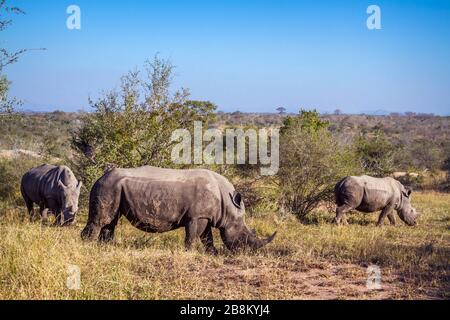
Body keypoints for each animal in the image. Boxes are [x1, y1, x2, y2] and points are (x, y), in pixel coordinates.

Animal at [81, 166, 278, 254]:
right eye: (244, 237)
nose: (248, 253)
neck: (228, 205)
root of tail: (101, 177)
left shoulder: (205, 216)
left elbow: (207, 237)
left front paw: (212, 253)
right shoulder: (196, 216)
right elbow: (193, 236)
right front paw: (189, 252)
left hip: (113, 187)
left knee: (110, 222)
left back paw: (106, 248)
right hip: (107, 187)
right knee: (101, 221)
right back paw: (89, 247)